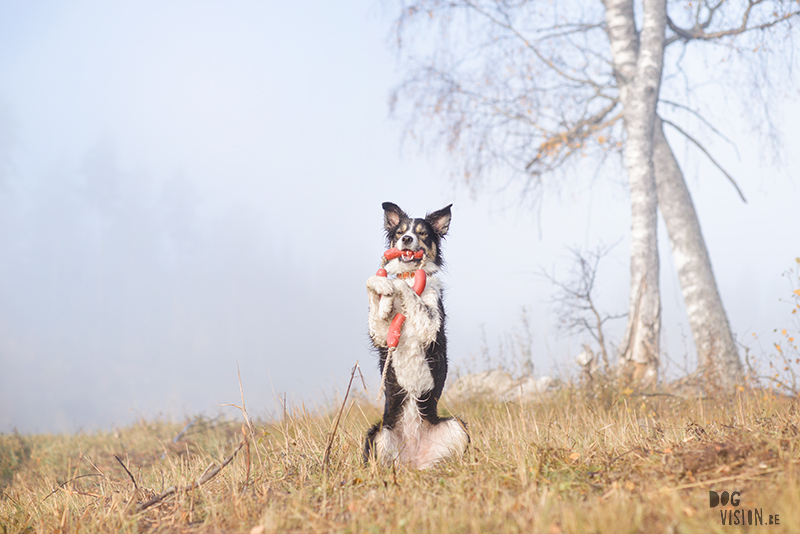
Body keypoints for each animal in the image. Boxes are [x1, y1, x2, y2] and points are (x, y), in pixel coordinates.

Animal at [364, 203, 468, 472]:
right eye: (400, 232)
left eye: (422, 233)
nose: (407, 239)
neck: (410, 275)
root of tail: (414, 461)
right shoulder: (382, 335)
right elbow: (374, 287)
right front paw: (383, 286)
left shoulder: (430, 326)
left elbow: (411, 293)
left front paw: (396, 287)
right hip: (378, 433)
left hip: (457, 425)